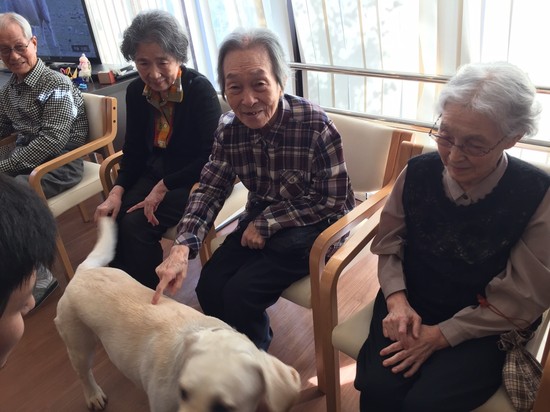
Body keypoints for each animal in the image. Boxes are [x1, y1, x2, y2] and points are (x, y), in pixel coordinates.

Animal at [54, 217, 301, 412]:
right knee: (84, 374)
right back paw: (93, 395)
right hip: (79, 345)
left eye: (223, 409)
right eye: (183, 392)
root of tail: (84, 272)